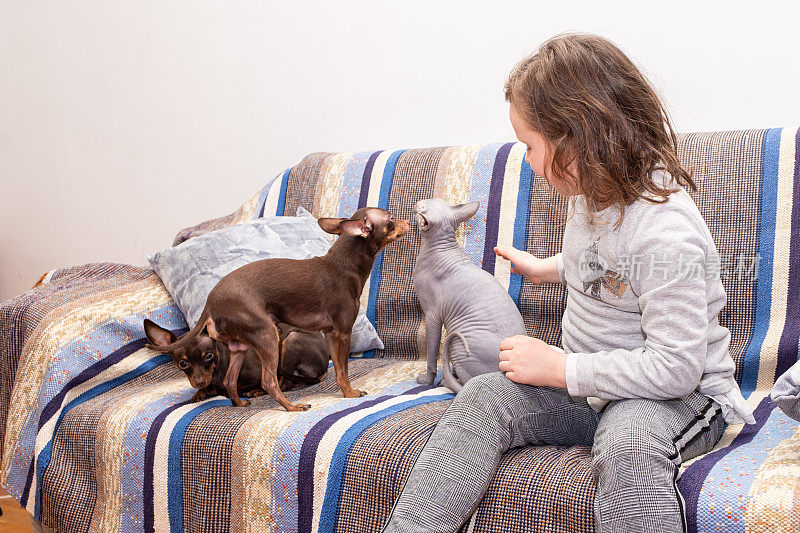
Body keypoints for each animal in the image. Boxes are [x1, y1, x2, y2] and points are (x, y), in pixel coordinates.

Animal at [145, 208, 406, 412]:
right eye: (391, 218)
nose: (408, 221)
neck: (343, 265)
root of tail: (210, 302)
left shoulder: (330, 333)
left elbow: (340, 371)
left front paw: (345, 391)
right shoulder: (343, 332)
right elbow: (343, 367)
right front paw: (351, 394)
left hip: (240, 346)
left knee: (230, 381)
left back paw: (239, 403)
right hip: (269, 335)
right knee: (269, 381)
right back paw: (292, 406)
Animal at [412, 198, 532, 390]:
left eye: (422, 207)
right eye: (431, 200)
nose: (417, 201)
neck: (439, 248)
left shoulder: (432, 315)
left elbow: (432, 353)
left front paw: (427, 379)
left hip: (459, 344)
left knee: (465, 382)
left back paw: (446, 380)